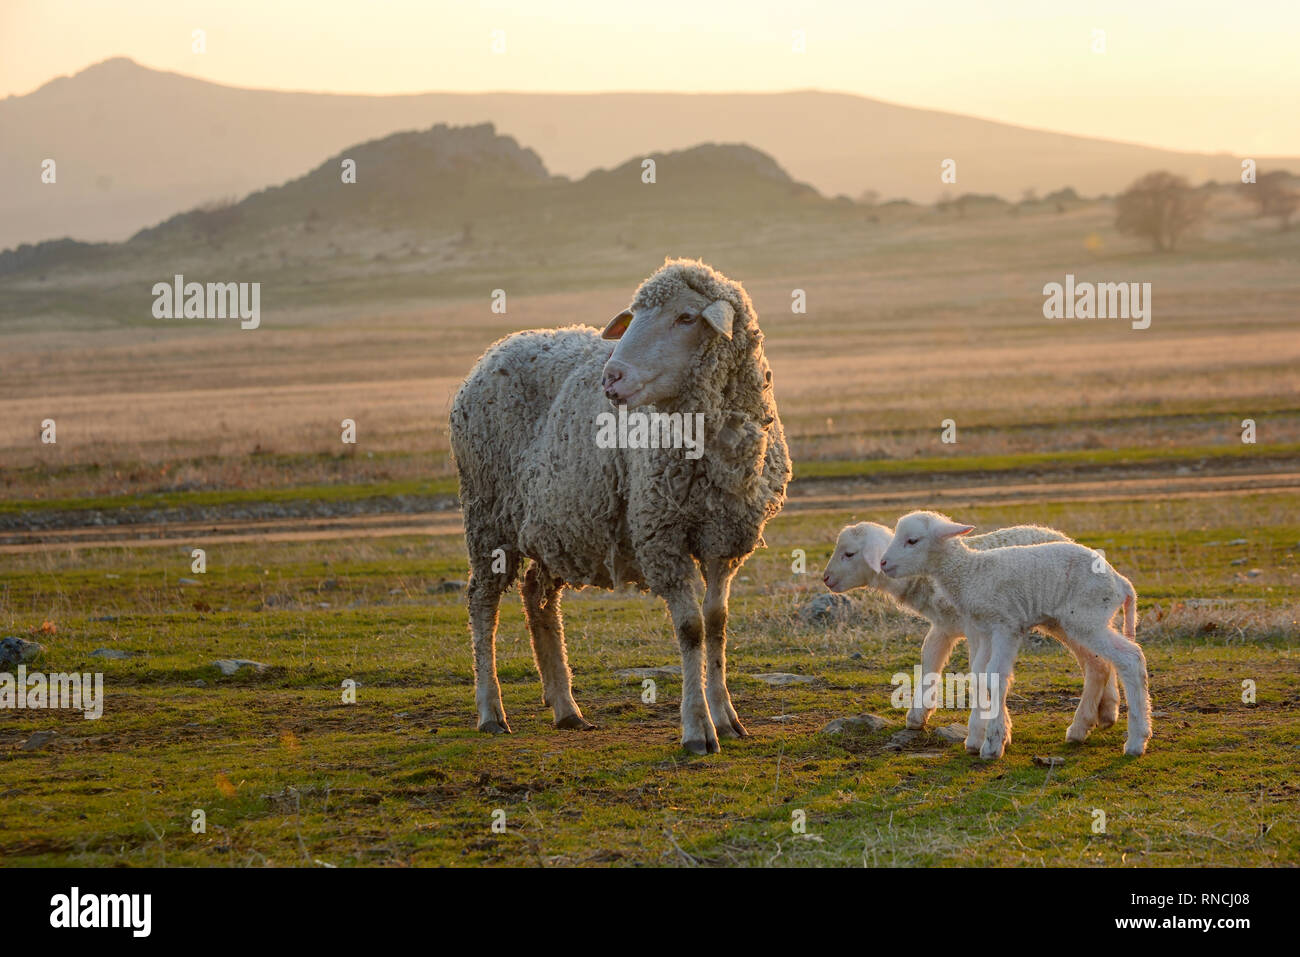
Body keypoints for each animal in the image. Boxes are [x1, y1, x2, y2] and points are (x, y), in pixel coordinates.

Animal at [449, 258, 790, 754]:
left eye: (686, 317)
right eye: (635, 317)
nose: (611, 377)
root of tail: (493, 352)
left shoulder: (724, 540)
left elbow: (716, 624)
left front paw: (727, 717)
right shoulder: (660, 534)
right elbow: (691, 629)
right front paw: (697, 729)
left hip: (558, 523)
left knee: (538, 597)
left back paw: (566, 707)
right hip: (487, 515)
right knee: (482, 601)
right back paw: (491, 710)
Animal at [823, 521, 1121, 741]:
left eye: (849, 554)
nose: (825, 579)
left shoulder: (975, 625)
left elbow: (979, 670)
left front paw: (989, 726)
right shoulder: (943, 626)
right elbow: (930, 659)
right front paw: (919, 714)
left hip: (1069, 619)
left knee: (1098, 662)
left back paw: (1087, 720)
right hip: (1062, 621)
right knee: (1101, 659)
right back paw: (1105, 712)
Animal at [878, 510, 1150, 759]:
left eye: (912, 540)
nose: (882, 564)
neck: (969, 573)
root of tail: (1121, 582)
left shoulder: (1005, 625)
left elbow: (994, 677)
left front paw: (992, 744)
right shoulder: (985, 630)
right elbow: (979, 675)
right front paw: (978, 738)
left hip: (1087, 618)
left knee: (1130, 658)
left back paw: (1137, 740)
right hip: (1075, 622)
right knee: (1102, 664)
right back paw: (1080, 730)